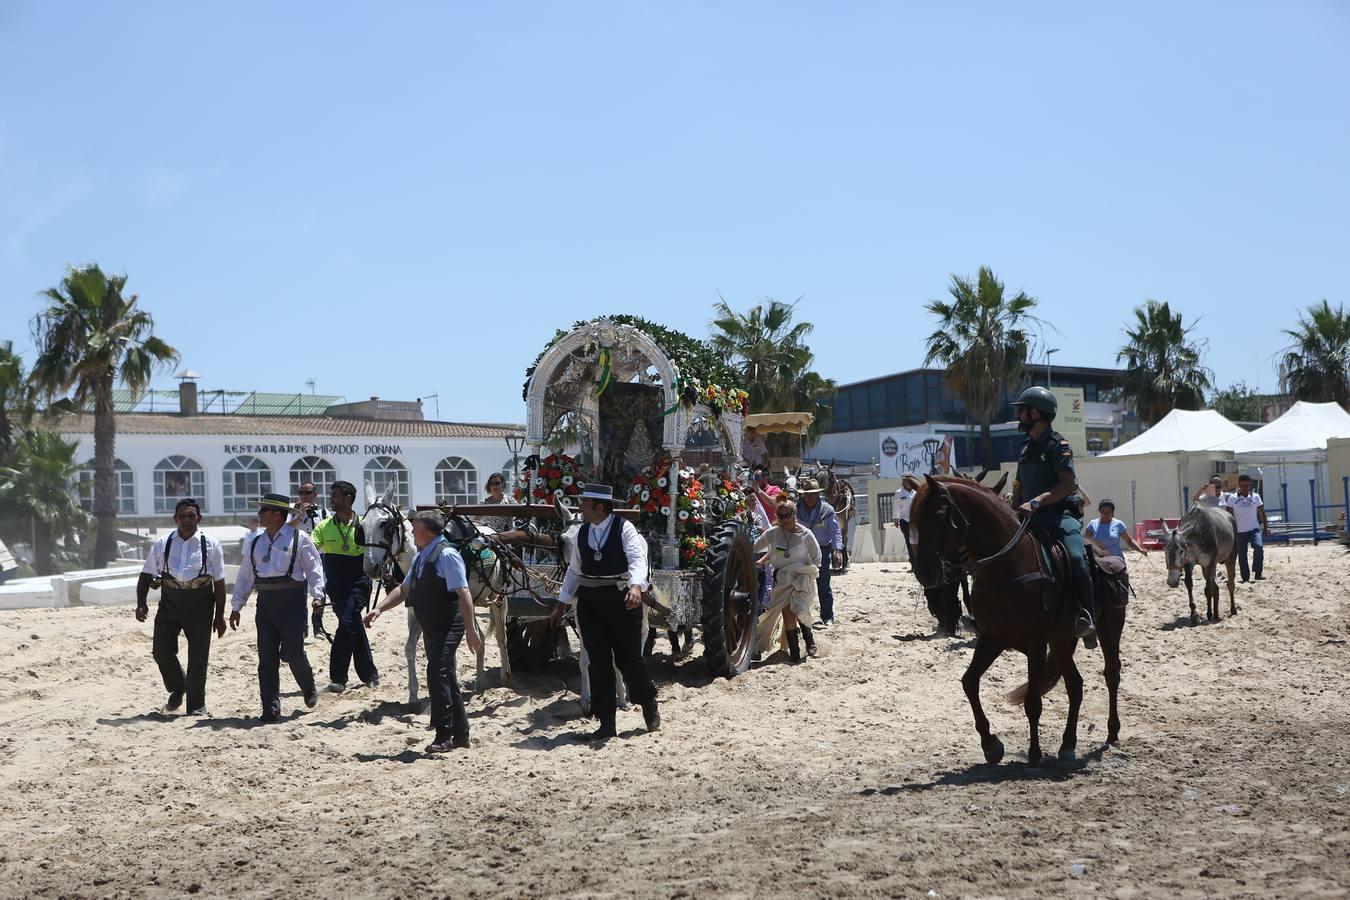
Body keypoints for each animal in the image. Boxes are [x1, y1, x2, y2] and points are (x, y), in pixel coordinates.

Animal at [907, 474, 1128, 766]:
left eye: (940, 514)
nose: (924, 572)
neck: (1007, 568)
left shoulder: (1035, 645)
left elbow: (1033, 702)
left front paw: (1034, 754)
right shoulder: (992, 639)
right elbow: (969, 682)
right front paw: (990, 745)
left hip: (1109, 626)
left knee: (1111, 673)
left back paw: (1112, 733)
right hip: (1061, 642)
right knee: (1075, 684)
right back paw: (1067, 745)